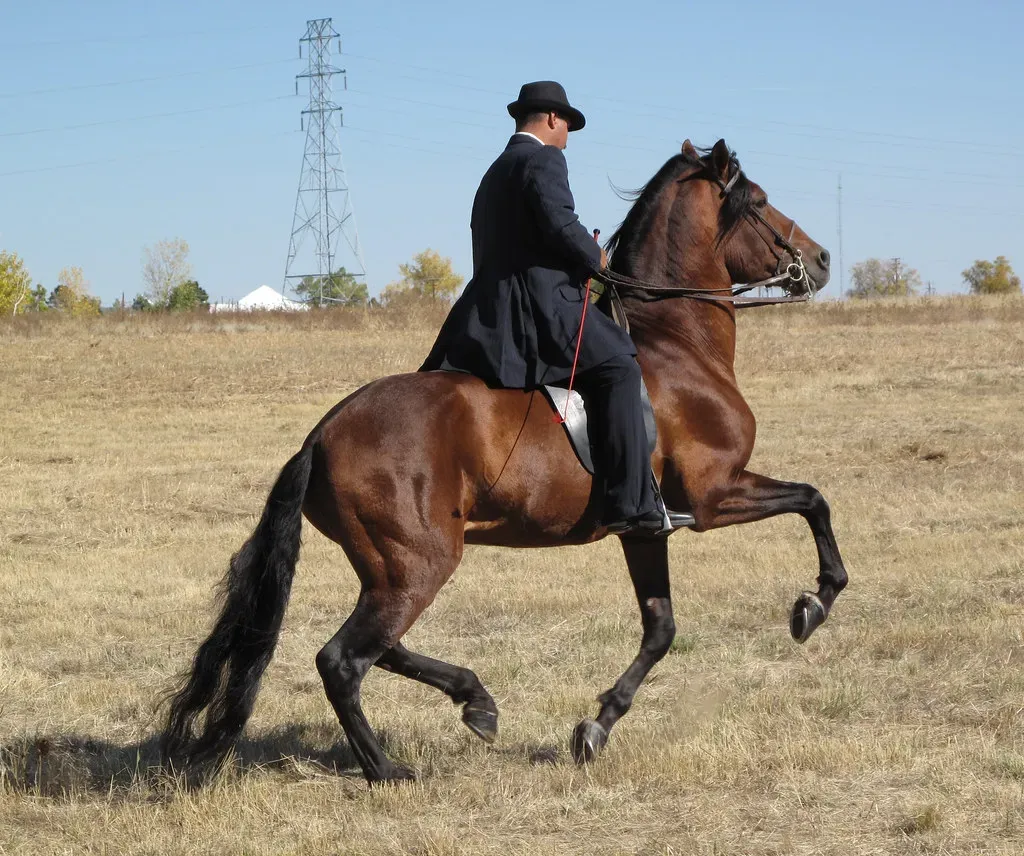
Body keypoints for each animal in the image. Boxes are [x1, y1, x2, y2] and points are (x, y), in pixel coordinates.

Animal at [162, 138, 847, 785]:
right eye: (759, 202)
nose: (820, 261)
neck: (678, 344)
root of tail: (322, 432)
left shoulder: (646, 529)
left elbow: (661, 628)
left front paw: (596, 727)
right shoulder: (712, 495)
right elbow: (813, 498)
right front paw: (812, 606)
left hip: (390, 567)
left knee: (382, 648)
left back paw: (475, 701)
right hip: (420, 563)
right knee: (344, 659)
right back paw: (388, 769)